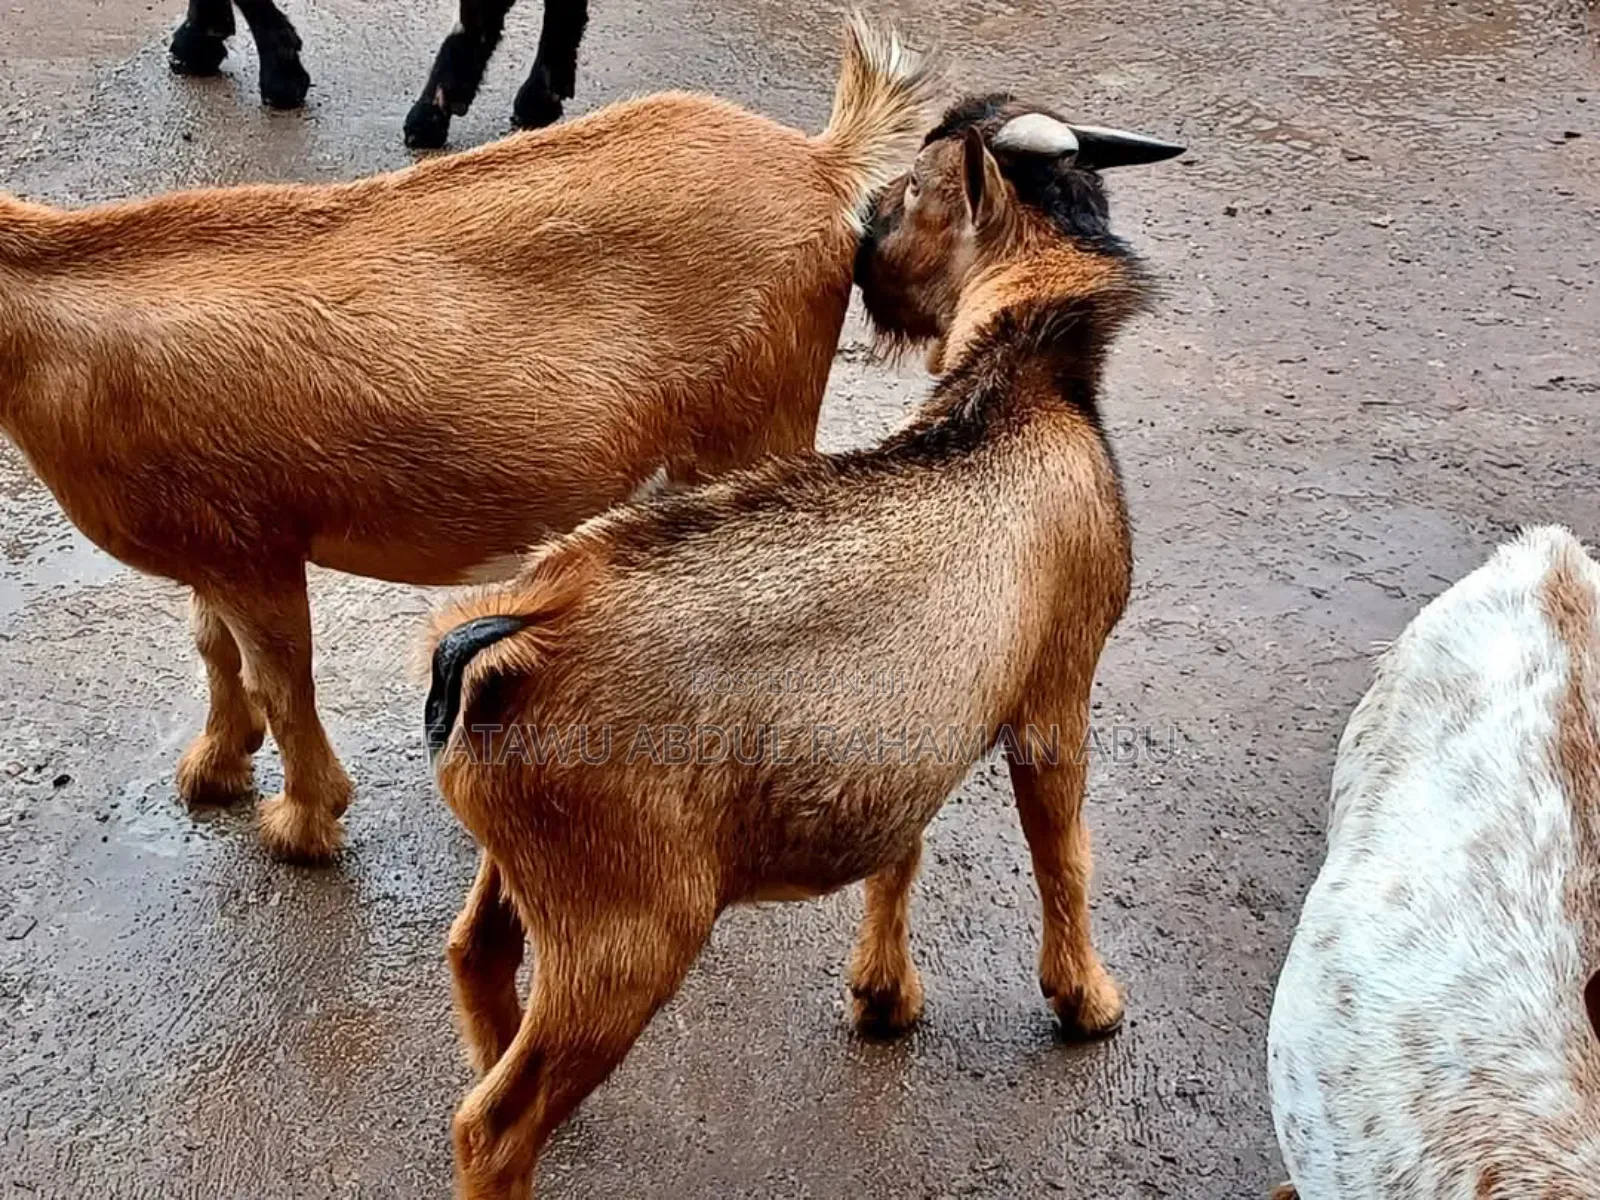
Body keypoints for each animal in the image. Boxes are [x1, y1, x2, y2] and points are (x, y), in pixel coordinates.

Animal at [1, 15, 931, 863]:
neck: (58, 340)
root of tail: (824, 162)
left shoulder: (255, 548)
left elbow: (280, 679)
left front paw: (300, 826)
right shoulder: (213, 543)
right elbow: (214, 651)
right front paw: (213, 771)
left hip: (762, 419)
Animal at [424, 95, 1181, 1198]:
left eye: (910, 195)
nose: (860, 250)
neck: (1011, 394)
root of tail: (515, 631)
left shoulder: (905, 736)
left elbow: (901, 849)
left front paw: (883, 996)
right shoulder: (1057, 686)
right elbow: (1063, 851)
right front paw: (1086, 1001)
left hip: (532, 865)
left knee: (477, 955)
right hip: (628, 925)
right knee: (491, 1123)